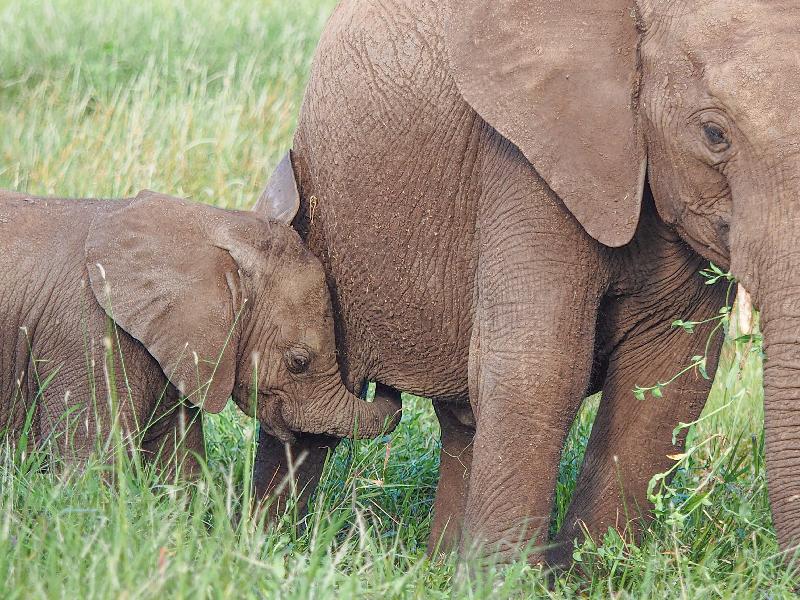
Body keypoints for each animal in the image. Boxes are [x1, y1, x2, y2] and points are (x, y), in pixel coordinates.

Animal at [253, 0, 800, 564]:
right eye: (715, 134)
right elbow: (539, 367)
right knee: (305, 424)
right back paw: (271, 546)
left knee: (462, 418)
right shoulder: (526, 159)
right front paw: (506, 578)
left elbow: (664, 379)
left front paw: (583, 574)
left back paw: (437, 566)